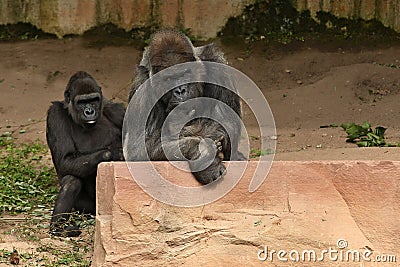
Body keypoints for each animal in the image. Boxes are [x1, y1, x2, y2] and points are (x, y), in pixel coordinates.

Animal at [45, 70, 124, 237]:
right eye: (81, 102)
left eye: (94, 100)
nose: (89, 111)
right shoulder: (55, 114)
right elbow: (66, 160)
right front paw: (115, 152)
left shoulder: (116, 110)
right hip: (88, 208)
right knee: (71, 181)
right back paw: (58, 228)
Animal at [125, 29, 244, 184]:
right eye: (168, 79)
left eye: (185, 73)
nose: (180, 90)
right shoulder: (141, 84)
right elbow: (140, 150)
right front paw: (202, 152)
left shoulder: (217, 63)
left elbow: (229, 123)